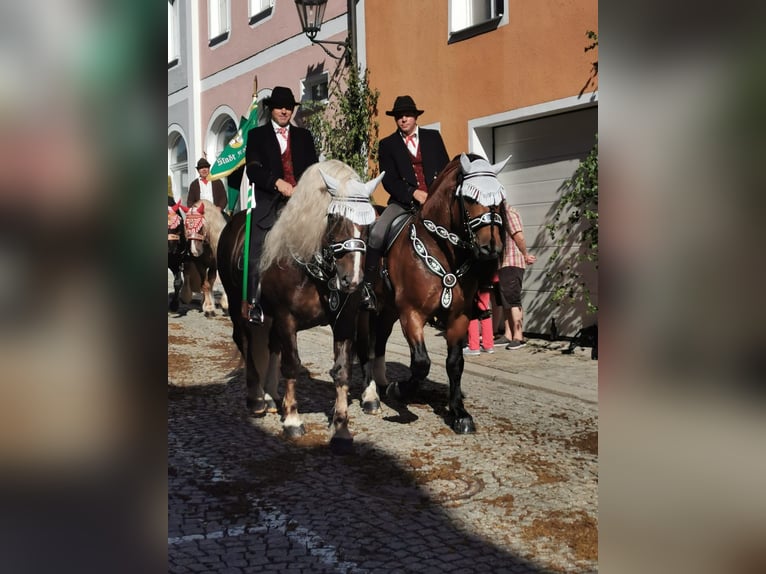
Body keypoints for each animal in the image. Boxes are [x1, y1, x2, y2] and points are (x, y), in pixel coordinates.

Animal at [216, 162, 384, 454]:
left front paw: (341, 428)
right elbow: (292, 365)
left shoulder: (344, 319)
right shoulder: (287, 319)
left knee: (270, 345)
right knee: (245, 341)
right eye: (334, 218)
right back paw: (256, 398)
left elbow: (342, 370)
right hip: (239, 306)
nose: (352, 281)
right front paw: (293, 420)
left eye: (369, 224)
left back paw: (271, 396)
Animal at [358, 154, 510, 436]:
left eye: (499, 198)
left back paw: (382, 384)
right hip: (366, 309)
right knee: (366, 345)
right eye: (470, 198)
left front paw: (459, 413)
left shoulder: (458, 316)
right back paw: (371, 396)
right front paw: (401, 390)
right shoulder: (412, 313)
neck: (440, 249)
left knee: (379, 340)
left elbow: (455, 363)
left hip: (388, 310)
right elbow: (421, 362)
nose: (491, 249)